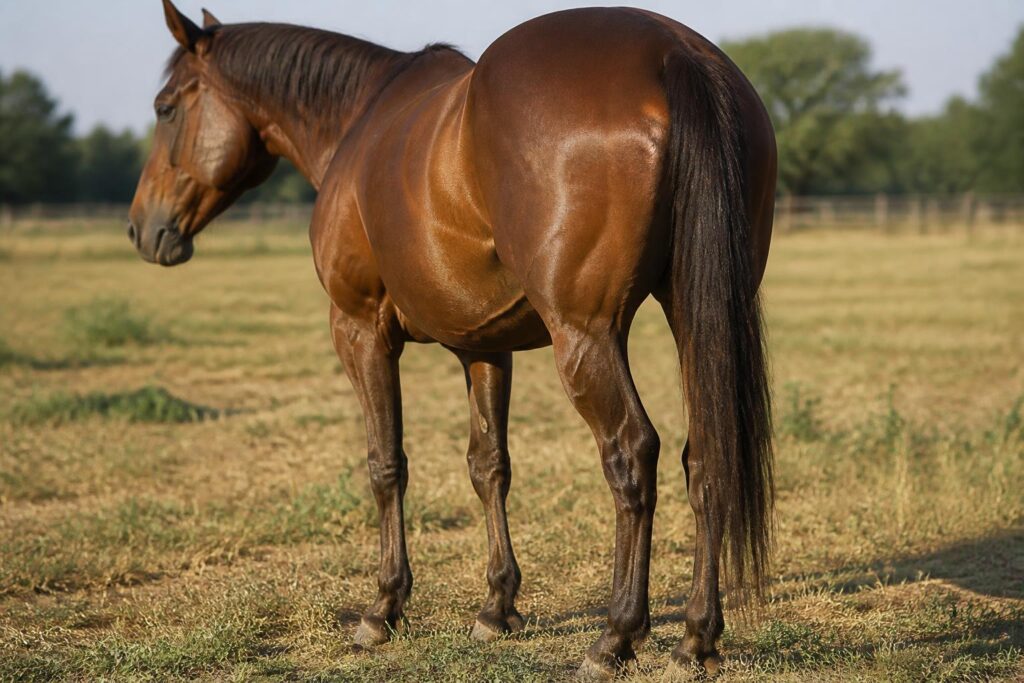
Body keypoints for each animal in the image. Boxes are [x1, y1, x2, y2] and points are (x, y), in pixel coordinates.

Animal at [129, 1, 777, 677]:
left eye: (166, 107)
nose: (142, 228)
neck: (357, 121)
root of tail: (672, 52)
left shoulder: (360, 330)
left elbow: (386, 463)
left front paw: (384, 608)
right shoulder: (484, 347)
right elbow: (489, 465)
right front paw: (497, 608)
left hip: (586, 338)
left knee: (631, 454)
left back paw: (615, 637)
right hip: (690, 316)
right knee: (706, 457)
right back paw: (696, 638)